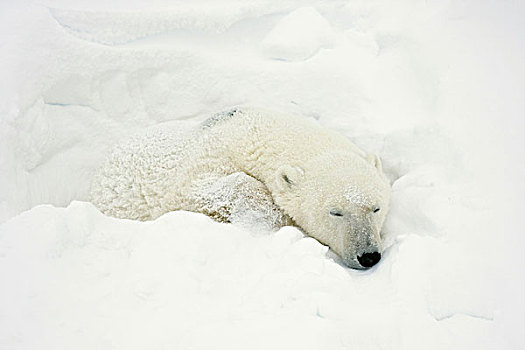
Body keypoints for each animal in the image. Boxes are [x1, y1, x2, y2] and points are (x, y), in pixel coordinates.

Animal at [90, 108, 390, 270]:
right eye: (335, 212)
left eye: (376, 208)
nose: (368, 256)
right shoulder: (202, 164)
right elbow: (207, 187)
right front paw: (263, 222)